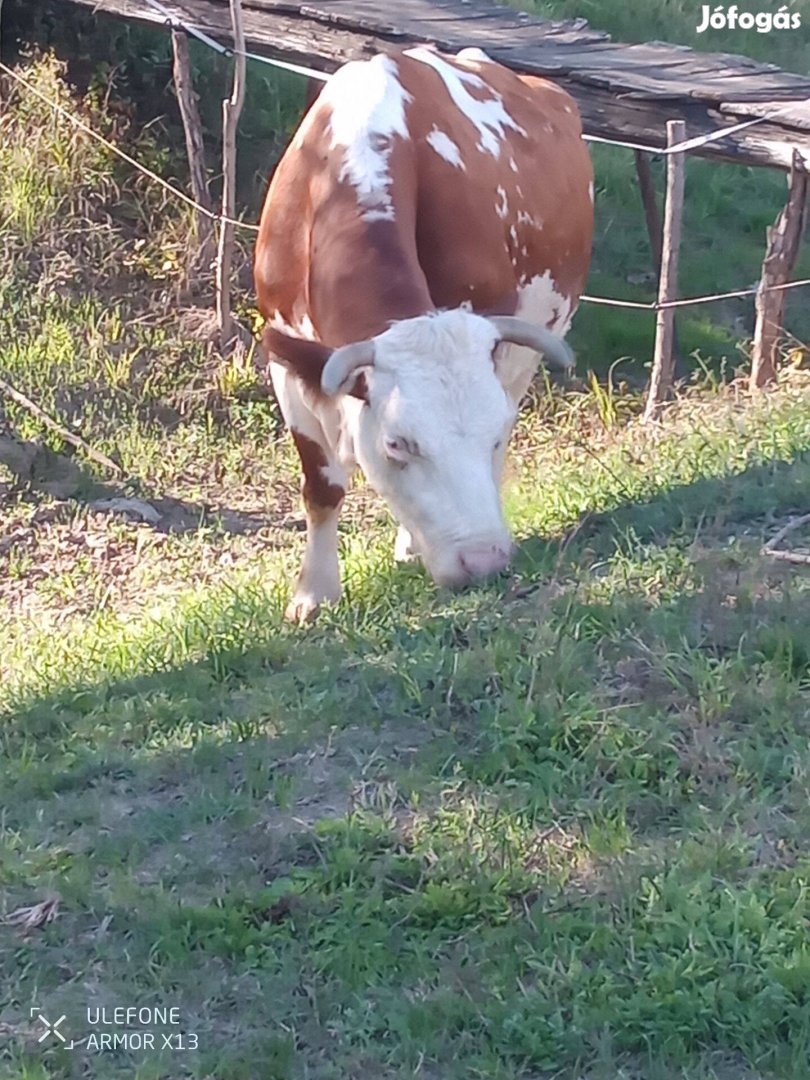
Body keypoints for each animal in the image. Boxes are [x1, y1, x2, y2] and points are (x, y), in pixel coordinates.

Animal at [257, 48, 591, 626]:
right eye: (397, 443)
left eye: (493, 433)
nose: (484, 562)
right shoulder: (285, 361)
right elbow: (321, 486)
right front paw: (314, 593)